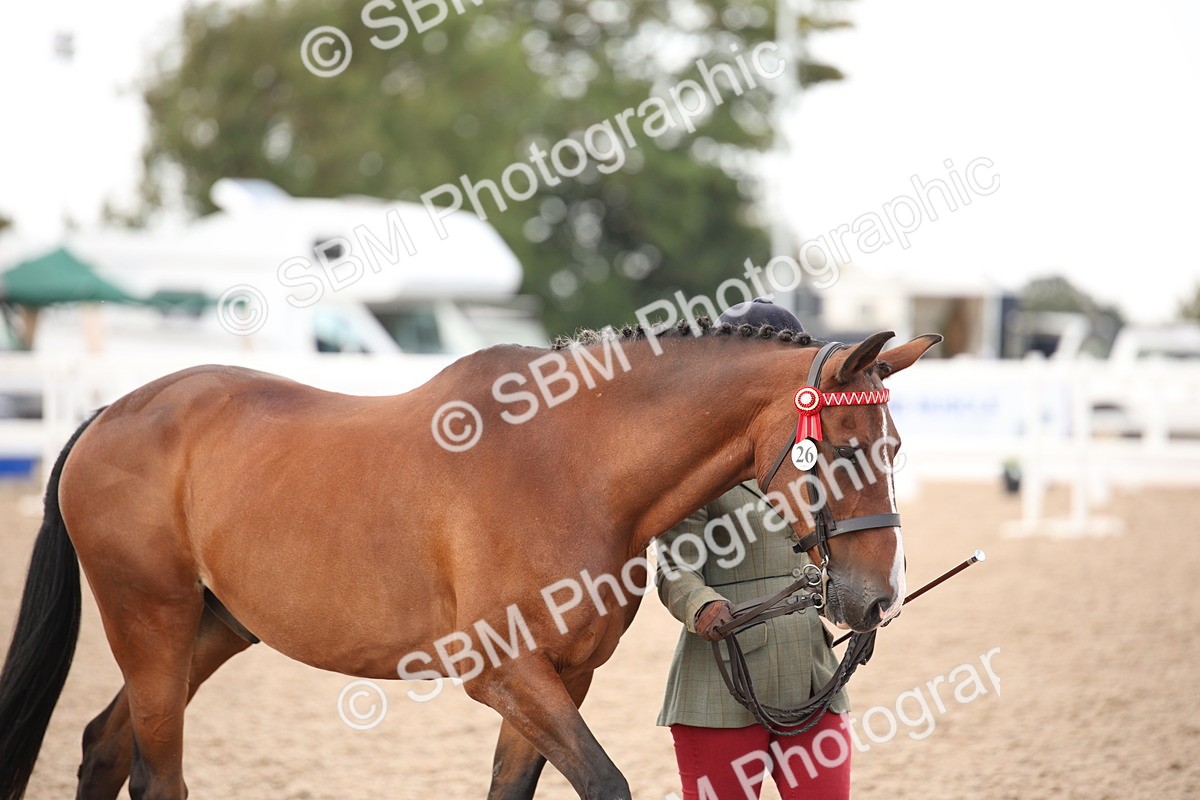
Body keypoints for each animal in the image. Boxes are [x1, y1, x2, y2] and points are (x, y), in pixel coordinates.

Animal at [0, 318, 940, 800]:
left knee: (103, 746)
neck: (570, 463)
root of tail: (111, 414)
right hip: (149, 625)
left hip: (210, 630)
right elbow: (606, 784)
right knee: (153, 772)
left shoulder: (561, 678)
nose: (876, 600)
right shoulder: (505, 673)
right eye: (846, 448)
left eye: (895, 444)